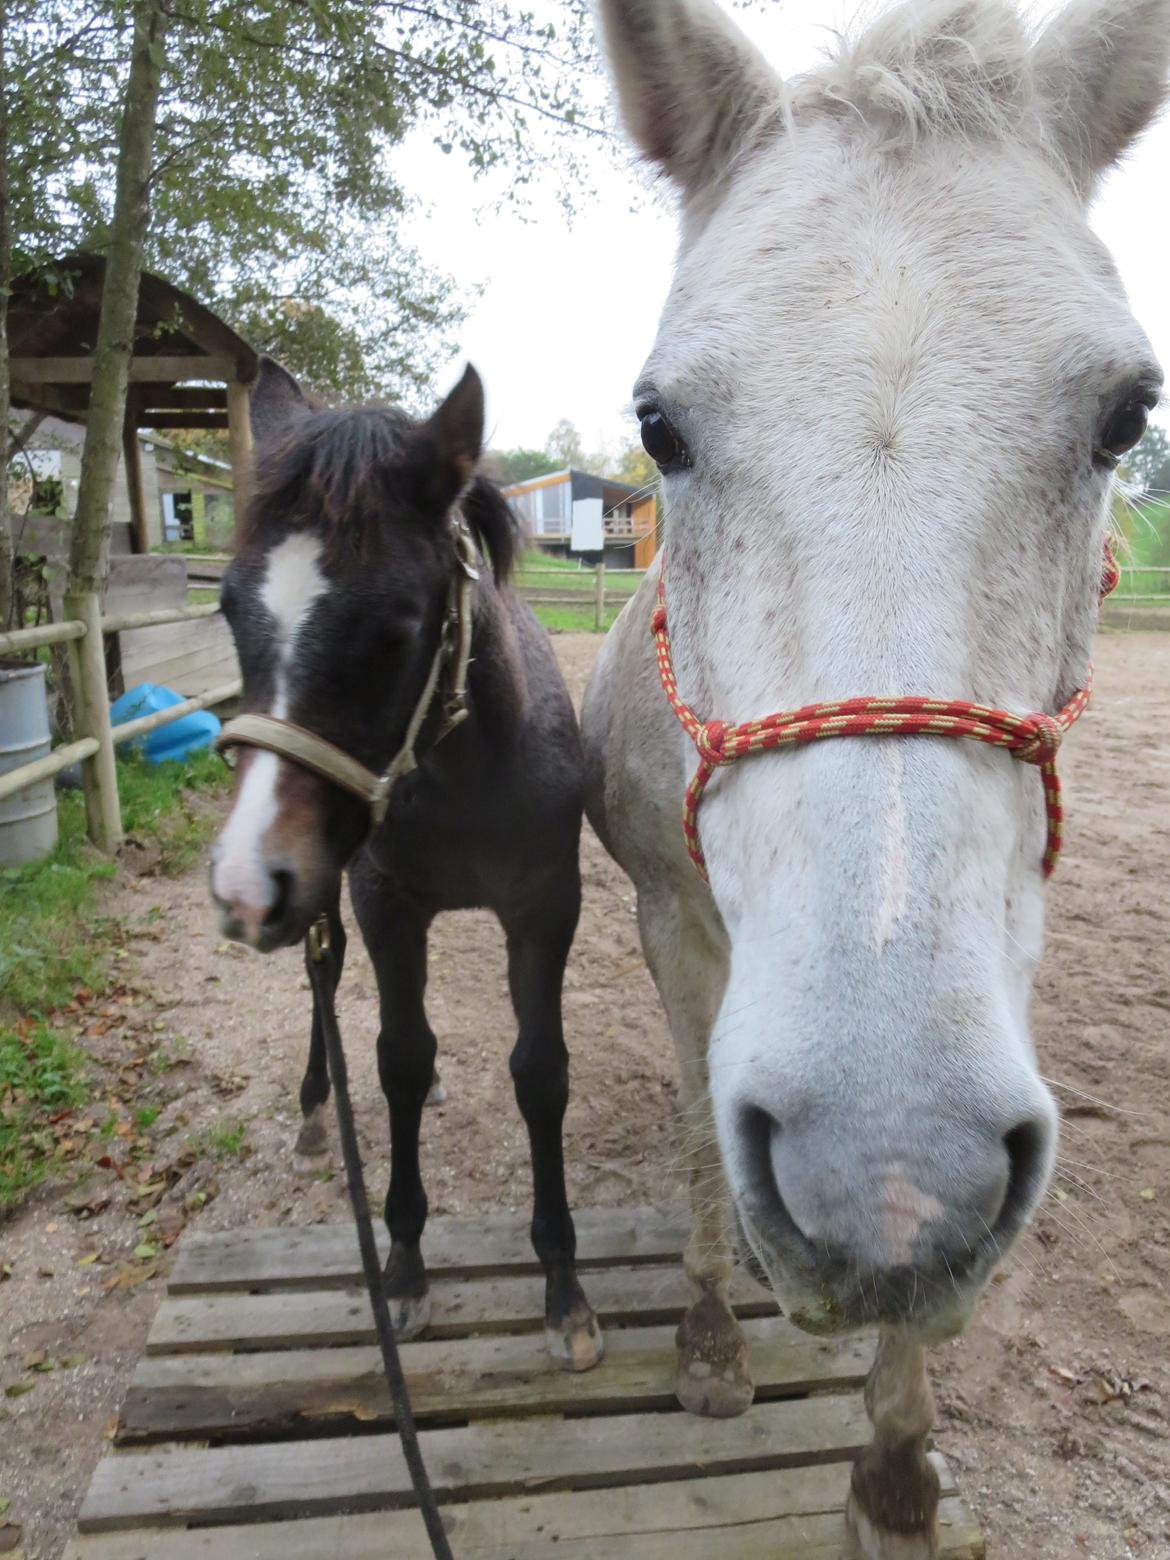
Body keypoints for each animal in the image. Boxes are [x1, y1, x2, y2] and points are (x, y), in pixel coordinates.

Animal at [209, 358, 605, 1372]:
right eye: (229, 607)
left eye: (394, 627)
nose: (243, 885)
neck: (465, 769)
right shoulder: (382, 900)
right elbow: (396, 1056)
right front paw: (404, 1267)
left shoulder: (546, 906)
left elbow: (542, 1071)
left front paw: (564, 1290)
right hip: (330, 887)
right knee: (329, 984)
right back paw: (317, 1112)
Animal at [589, 3, 1166, 1547]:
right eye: (657, 424)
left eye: (1123, 417)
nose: (883, 1177)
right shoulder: (667, 924)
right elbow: (692, 1117)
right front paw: (708, 1343)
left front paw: (896, 1472)